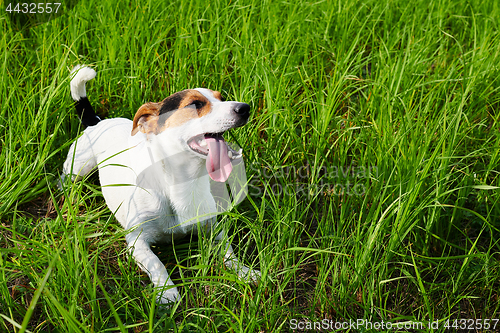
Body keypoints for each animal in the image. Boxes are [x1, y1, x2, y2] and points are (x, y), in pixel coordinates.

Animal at [60, 65, 260, 304]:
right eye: (195, 104)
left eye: (222, 98)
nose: (245, 108)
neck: (180, 184)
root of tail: (97, 121)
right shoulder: (137, 241)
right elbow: (157, 264)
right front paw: (167, 291)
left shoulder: (212, 228)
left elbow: (229, 251)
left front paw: (245, 271)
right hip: (77, 167)